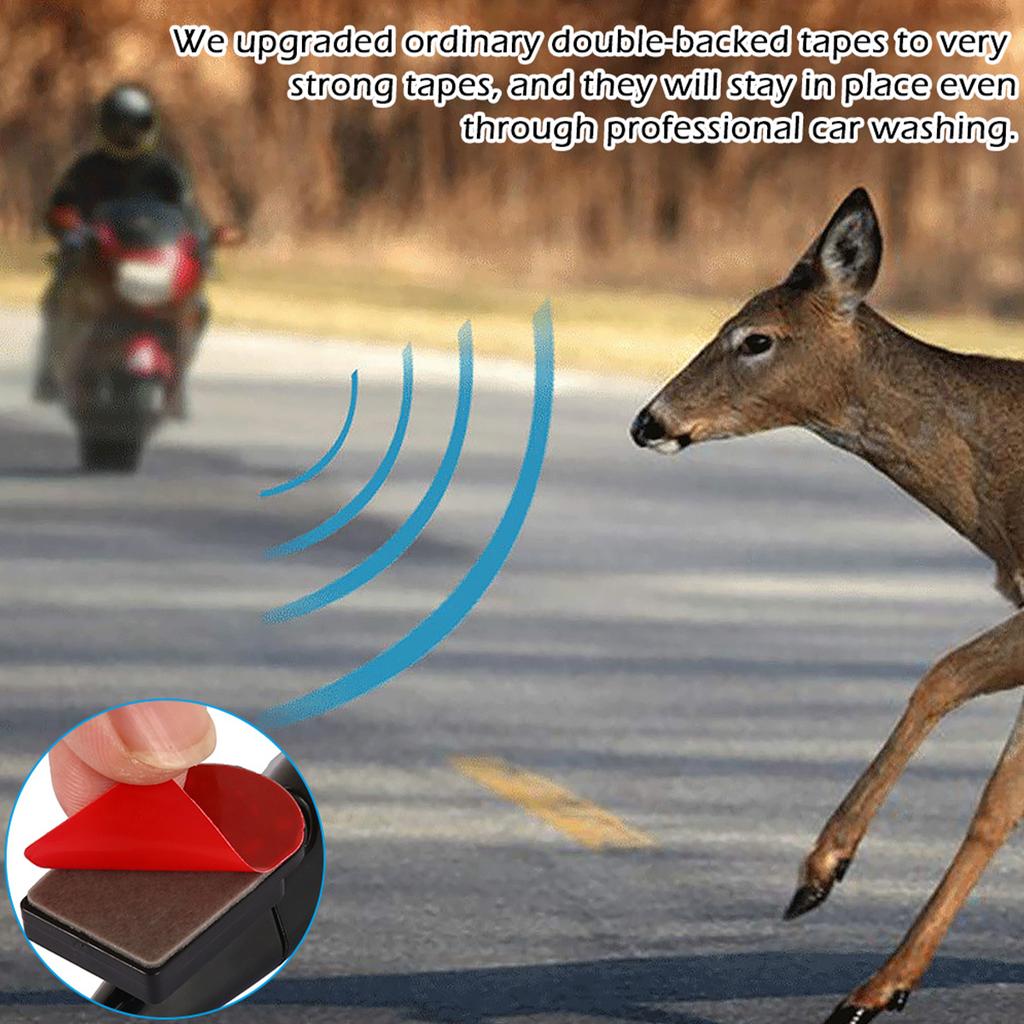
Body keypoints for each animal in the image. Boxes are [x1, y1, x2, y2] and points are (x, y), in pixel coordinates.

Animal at [630, 187, 1024, 1024]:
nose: (649, 419)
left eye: (756, 338)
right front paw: (844, 920)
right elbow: (969, 739)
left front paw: (857, 943)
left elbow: (968, 740)